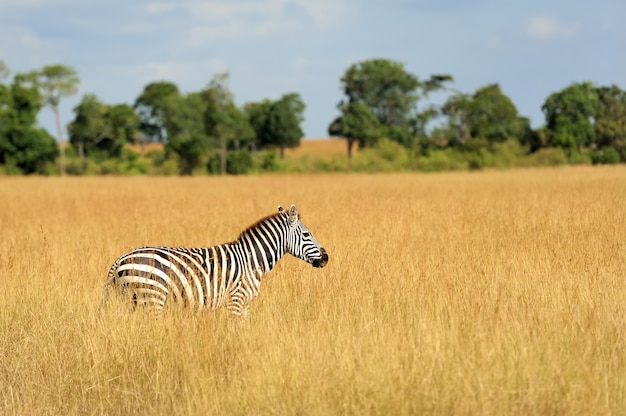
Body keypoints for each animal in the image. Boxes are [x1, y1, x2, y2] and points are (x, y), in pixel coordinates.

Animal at [102, 205, 326, 316]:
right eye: (307, 234)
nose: (326, 257)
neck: (252, 260)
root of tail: (120, 259)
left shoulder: (245, 304)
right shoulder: (236, 300)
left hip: (131, 302)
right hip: (151, 298)